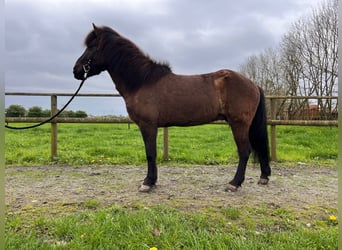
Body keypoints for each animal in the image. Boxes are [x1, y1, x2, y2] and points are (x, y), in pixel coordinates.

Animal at [73, 24, 272, 192]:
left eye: (91, 47)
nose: (76, 70)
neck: (142, 81)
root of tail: (253, 84)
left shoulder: (148, 125)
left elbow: (150, 153)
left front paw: (147, 183)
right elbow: (152, 153)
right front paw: (152, 181)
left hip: (239, 124)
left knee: (244, 151)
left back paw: (234, 183)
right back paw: (263, 177)